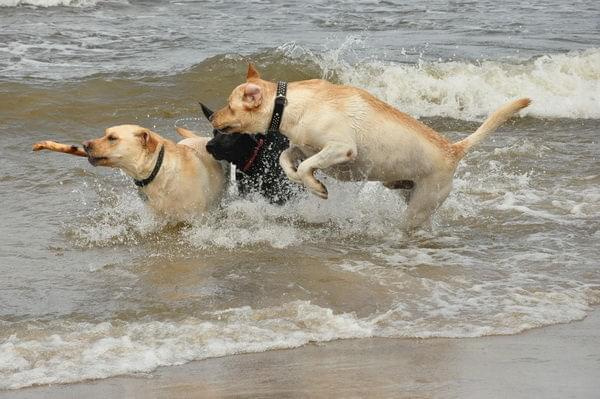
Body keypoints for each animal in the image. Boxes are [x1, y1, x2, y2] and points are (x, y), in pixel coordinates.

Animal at [212, 64, 528, 230]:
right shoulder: (303, 146)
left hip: (420, 206)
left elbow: (305, 166)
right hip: (409, 192)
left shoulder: (341, 148)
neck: (290, 105)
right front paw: (304, 179)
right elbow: (286, 158)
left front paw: (316, 187)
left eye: (229, 105)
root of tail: (453, 149)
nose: (213, 118)